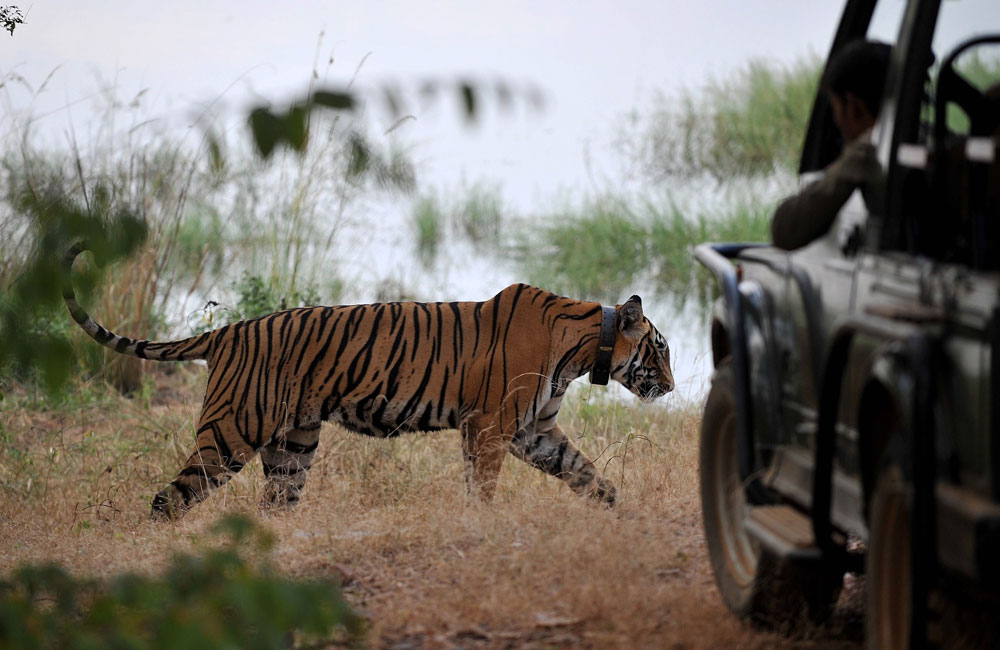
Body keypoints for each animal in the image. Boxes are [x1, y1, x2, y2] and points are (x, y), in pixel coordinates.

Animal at [60, 243, 672, 516]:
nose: (670, 386)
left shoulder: (534, 431)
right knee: (170, 498)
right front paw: (481, 525)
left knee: (274, 503)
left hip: (293, 444)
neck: (584, 348)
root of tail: (229, 331)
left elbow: (586, 472)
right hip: (232, 432)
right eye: (661, 349)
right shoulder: (492, 427)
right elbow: (483, 486)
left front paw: (621, 511)